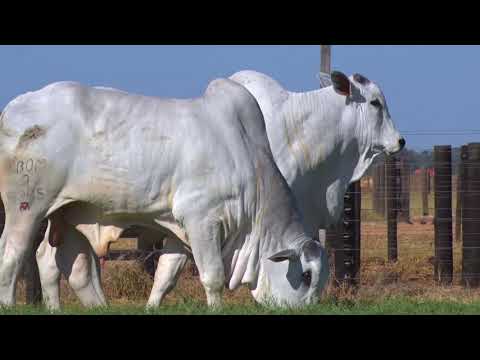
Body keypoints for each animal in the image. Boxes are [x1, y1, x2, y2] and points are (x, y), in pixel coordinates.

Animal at [0, 79, 328, 310]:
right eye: (306, 276)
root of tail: (15, 106)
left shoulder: (180, 232)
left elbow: (165, 276)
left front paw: (151, 306)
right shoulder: (202, 220)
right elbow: (212, 276)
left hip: (65, 213)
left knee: (55, 261)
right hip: (26, 207)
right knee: (12, 253)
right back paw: (9, 303)